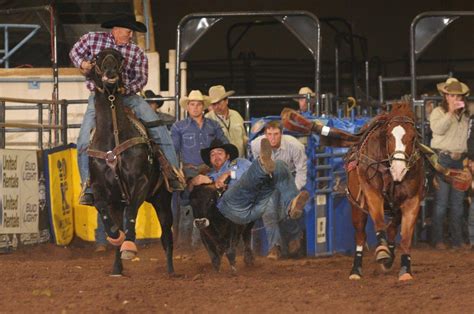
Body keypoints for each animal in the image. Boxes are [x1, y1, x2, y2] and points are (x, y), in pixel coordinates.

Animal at [86, 47, 174, 276]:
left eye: (119, 57)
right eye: (98, 57)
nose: (110, 71)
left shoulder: (140, 182)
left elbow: (133, 211)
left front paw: (129, 246)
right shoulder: (99, 188)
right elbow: (104, 211)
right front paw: (116, 237)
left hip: (162, 199)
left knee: (166, 236)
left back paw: (171, 270)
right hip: (120, 202)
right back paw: (117, 268)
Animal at [282, 103, 426, 282]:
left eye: (413, 138)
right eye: (388, 136)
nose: (399, 170)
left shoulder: (412, 200)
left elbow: (405, 237)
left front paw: (405, 269)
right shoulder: (371, 193)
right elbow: (379, 222)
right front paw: (382, 250)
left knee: (392, 228)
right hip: (357, 207)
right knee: (360, 235)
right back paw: (356, 269)